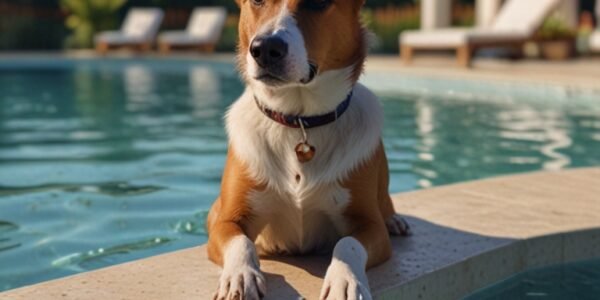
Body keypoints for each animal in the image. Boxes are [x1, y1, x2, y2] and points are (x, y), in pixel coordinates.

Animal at [205, 0, 408, 298]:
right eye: (257, 2)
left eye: (318, 3)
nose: (265, 48)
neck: (299, 120)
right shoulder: (228, 220)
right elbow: (240, 242)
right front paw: (241, 276)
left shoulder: (370, 226)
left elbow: (348, 243)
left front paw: (345, 279)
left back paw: (394, 220)